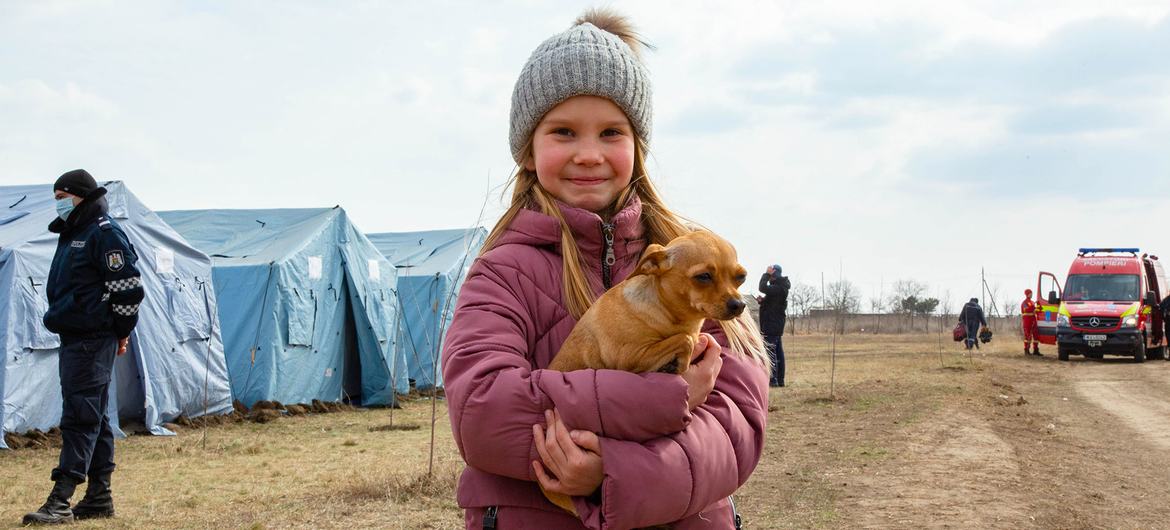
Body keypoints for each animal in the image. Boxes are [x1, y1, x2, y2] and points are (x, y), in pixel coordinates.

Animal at [540, 229, 744, 514]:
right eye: (703, 276)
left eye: (740, 277)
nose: (739, 305)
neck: (671, 316)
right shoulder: (630, 357)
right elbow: (685, 340)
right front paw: (678, 363)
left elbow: (692, 338)